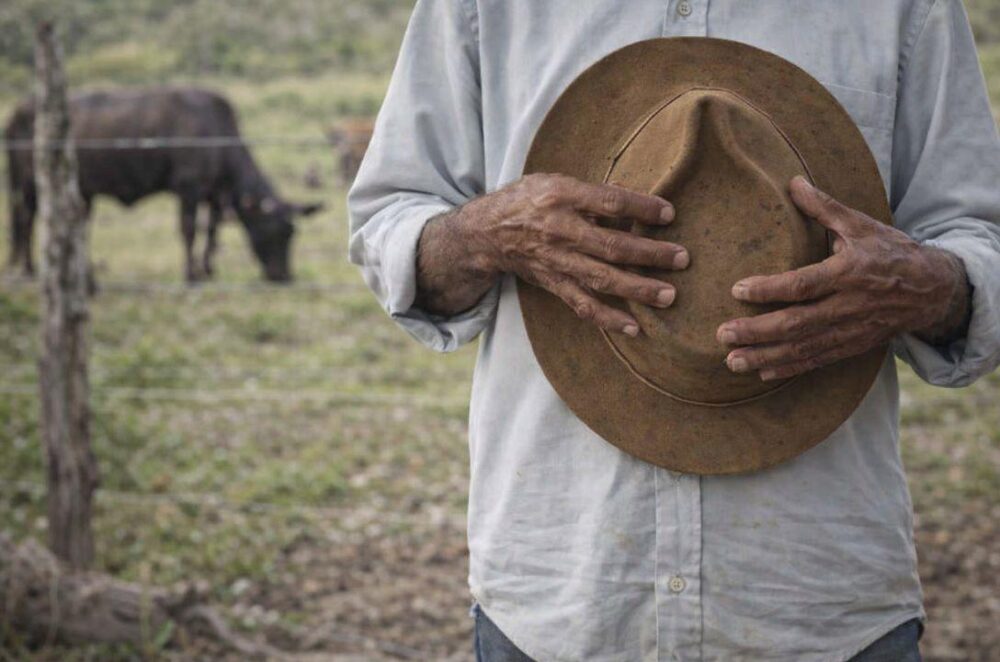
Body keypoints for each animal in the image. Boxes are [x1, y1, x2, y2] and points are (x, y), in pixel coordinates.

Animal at [4, 87, 322, 283]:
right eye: (275, 231)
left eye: (292, 232)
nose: (283, 277)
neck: (217, 136)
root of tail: (20, 109)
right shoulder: (189, 189)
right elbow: (189, 230)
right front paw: (191, 275)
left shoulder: (214, 195)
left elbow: (212, 231)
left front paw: (208, 269)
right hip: (33, 186)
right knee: (27, 220)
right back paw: (30, 269)